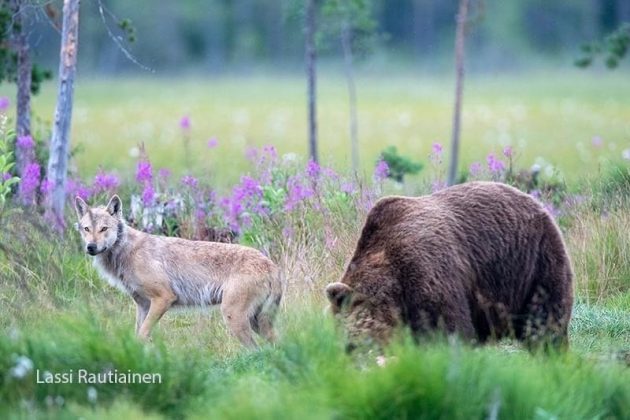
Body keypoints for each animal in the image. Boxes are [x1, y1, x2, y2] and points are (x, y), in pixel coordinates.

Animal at [328, 180, 576, 352]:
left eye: (352, 344)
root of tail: (537, 203)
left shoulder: (429, 273)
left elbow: (449, 331)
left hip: (534, 264)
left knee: (544, 324)